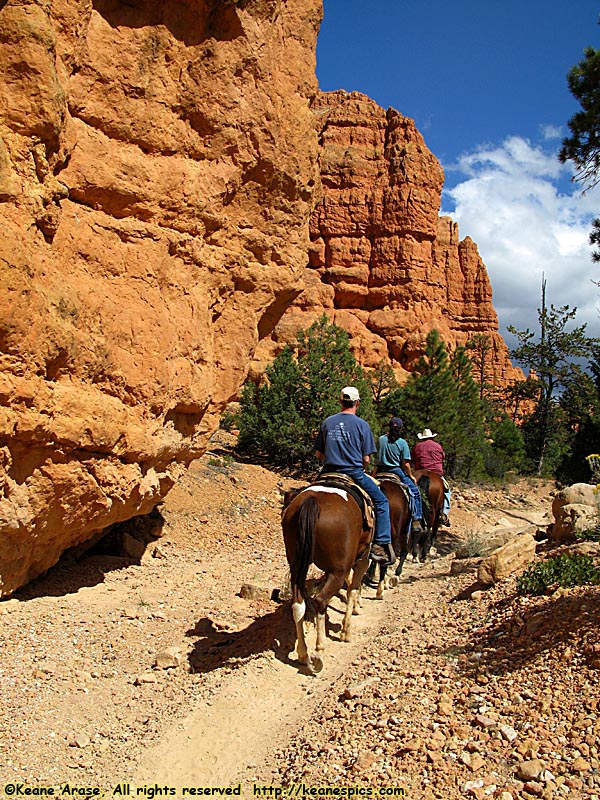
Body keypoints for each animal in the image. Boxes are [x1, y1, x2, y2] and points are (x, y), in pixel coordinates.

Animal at [280, 484, 370, 672]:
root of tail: (312, 500)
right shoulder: (364, 555)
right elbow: (353, 588)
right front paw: (346, 630)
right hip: (338, 570)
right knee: (321, 600)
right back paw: (319, 650)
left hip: (297, 565)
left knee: (298, 604)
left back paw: (303, 654)